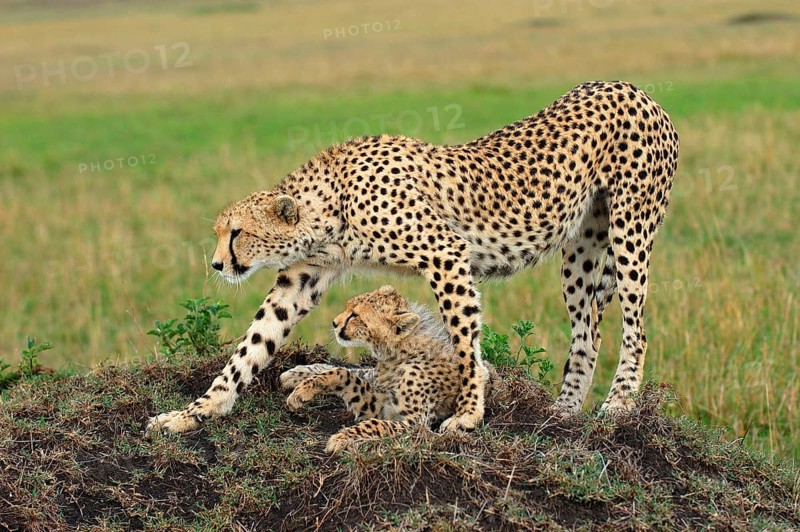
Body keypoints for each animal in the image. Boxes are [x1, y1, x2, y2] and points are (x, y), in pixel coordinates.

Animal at [146, 80, 679, 435]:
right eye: (220, 233)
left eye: (236, 234)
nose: (217, 265)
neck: (331, 205)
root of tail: (633, 88)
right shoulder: (303, 276)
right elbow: (252, 346)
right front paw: (193, 414)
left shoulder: (446, 254)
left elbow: (464, 341)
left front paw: (468, 412)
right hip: (581, 249)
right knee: (588, 328)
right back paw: (564, 411)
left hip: (631, 231)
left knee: (636, 326)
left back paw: (620, 403)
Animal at [279, 285, 497, 453]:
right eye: (348, 307)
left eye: (355, 315)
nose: (334, 323)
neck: (400, 352)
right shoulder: (379, 403)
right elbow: (342, 373)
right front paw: (302, 391)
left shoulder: (415, 422)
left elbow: (374, 423)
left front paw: (341, 437)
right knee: (354, 370)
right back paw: (294, 375)